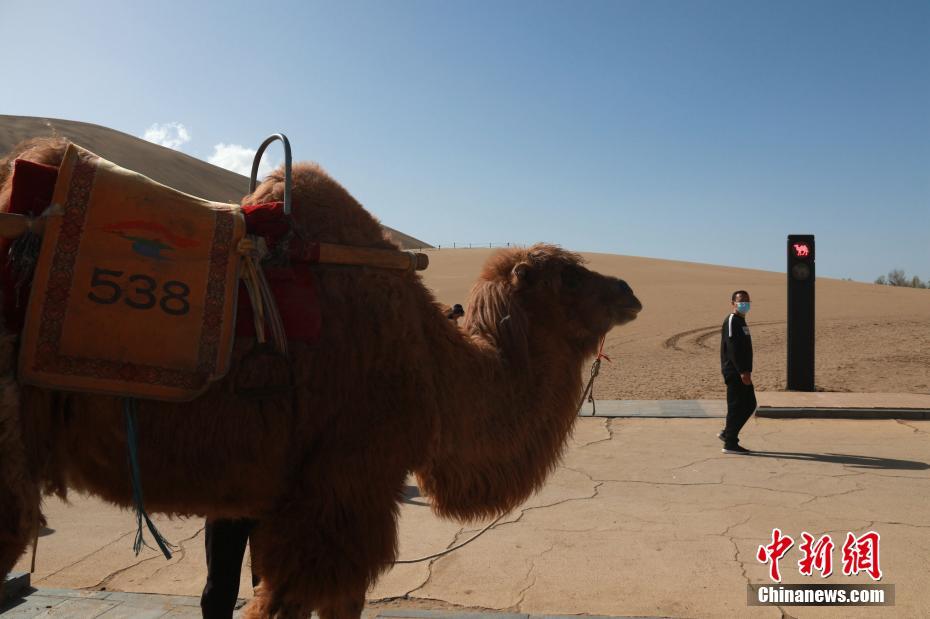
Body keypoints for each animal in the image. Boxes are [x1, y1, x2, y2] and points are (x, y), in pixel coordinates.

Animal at [0, 138, 640, 616]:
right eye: (569, 276)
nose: (629, 292)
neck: (432, 363)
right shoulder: (346, 484)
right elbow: (306, 601)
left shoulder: (285, 496)